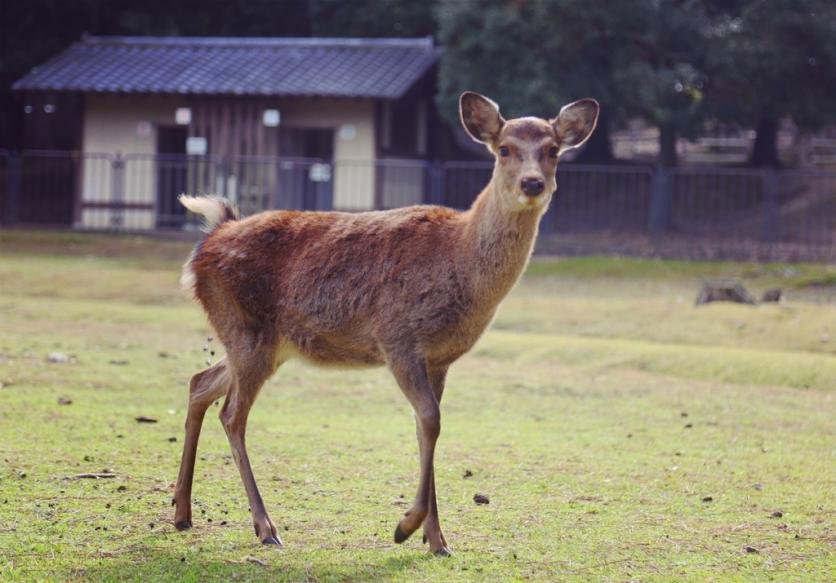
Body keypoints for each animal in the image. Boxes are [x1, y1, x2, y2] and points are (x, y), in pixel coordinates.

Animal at [173, 92, 596, 556]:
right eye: (503, 149)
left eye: (553, 150)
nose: (532, 184)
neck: (460, 260)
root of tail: (210, 238)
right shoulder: (398, 337)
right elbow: (430, 419)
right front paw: (406, 527)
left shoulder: (439, 359)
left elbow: (427, 426)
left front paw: (436, 539)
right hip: (245, 328)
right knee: (231, 414)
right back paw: (265, 526)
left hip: (262, 342)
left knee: (199, 383)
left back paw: (182, 512)